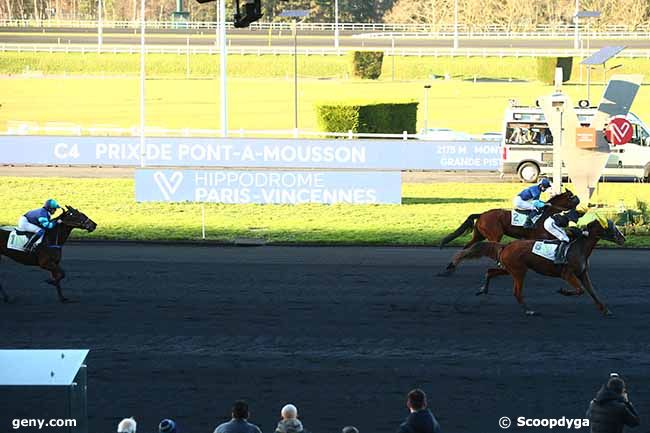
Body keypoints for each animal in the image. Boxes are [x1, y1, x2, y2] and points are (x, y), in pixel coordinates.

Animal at [436, 187, 576, 276]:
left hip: (479, 235)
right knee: (491, 247)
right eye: (572, 198)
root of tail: (482, 214)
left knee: (467, 247)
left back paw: (451, 266)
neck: (545, 214)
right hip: (494, 235)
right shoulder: (540, 236)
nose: (579, 208)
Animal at [446, 218, 624, 316]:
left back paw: (483, 289)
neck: (578, 247)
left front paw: (605, 309)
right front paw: (563, 291)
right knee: (517, 292)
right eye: (611, 228)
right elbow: (580, 290)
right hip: (519, 271)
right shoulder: (567, 274)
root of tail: (506, 246)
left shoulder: (582, 273)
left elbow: (592, 291)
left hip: (509, 268)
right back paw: (529, 310)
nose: (622, 238)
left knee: (490, 271)